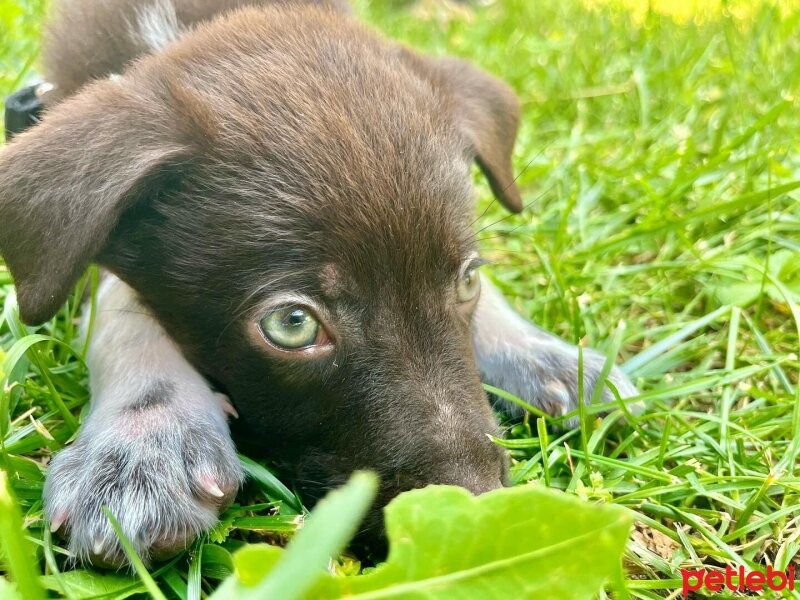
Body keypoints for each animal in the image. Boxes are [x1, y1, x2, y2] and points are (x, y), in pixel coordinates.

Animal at [0, 0, 636, 564]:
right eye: (292, 324)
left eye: (466, 283)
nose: (470, 520)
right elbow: (121, 302)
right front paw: (146, 439)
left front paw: (540, 353)